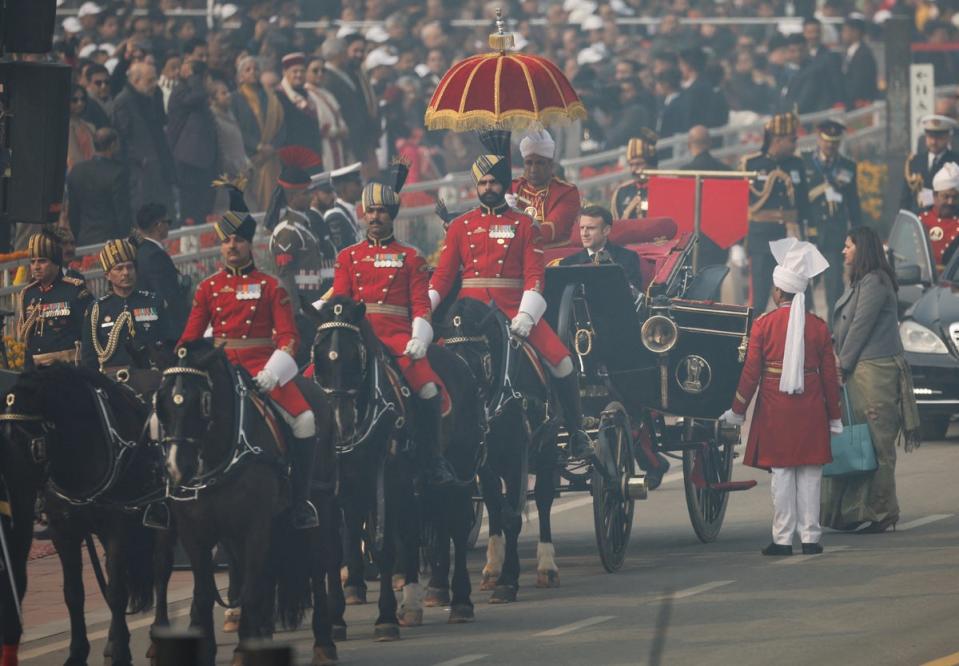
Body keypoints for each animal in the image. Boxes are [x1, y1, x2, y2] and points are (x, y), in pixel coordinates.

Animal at [0, 364, 167, 664]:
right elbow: (73, 593)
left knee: (161, 569)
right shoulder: (63, 531)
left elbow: (116, 590)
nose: (12, 498)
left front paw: (119, 650)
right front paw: (78, 652)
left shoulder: (117, 526)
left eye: (29, 442)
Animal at [156, 342, 340, 664]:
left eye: (203, 402)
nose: (176, 469)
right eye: (161, 402)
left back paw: (323, 642)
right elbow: (204, 592)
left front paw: (244, 650)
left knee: (319, 564)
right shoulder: (195, 533)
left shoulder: (254, 527)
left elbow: (251, 588)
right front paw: (207, 649)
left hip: (320, 503)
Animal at [310, 296, 488, 632]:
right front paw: (336, 618)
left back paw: (459, 601)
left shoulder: (387, 482)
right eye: (318, 356)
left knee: (455, 525)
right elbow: (336, 548)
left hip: (458, 468)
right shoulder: (340, 490)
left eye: (357, 355)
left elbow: (385, 547)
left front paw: (386, 618)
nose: (339, 423)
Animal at [444, 298, 568, 600]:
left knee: (544, 499)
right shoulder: (484, 462)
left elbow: (512, 515)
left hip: (546, 449)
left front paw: (508, 581)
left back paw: (547, 565)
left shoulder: (516, 455)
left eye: (478, 357)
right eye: (447, 357)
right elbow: (496, 506)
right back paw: (492, 566)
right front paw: (496, 571)